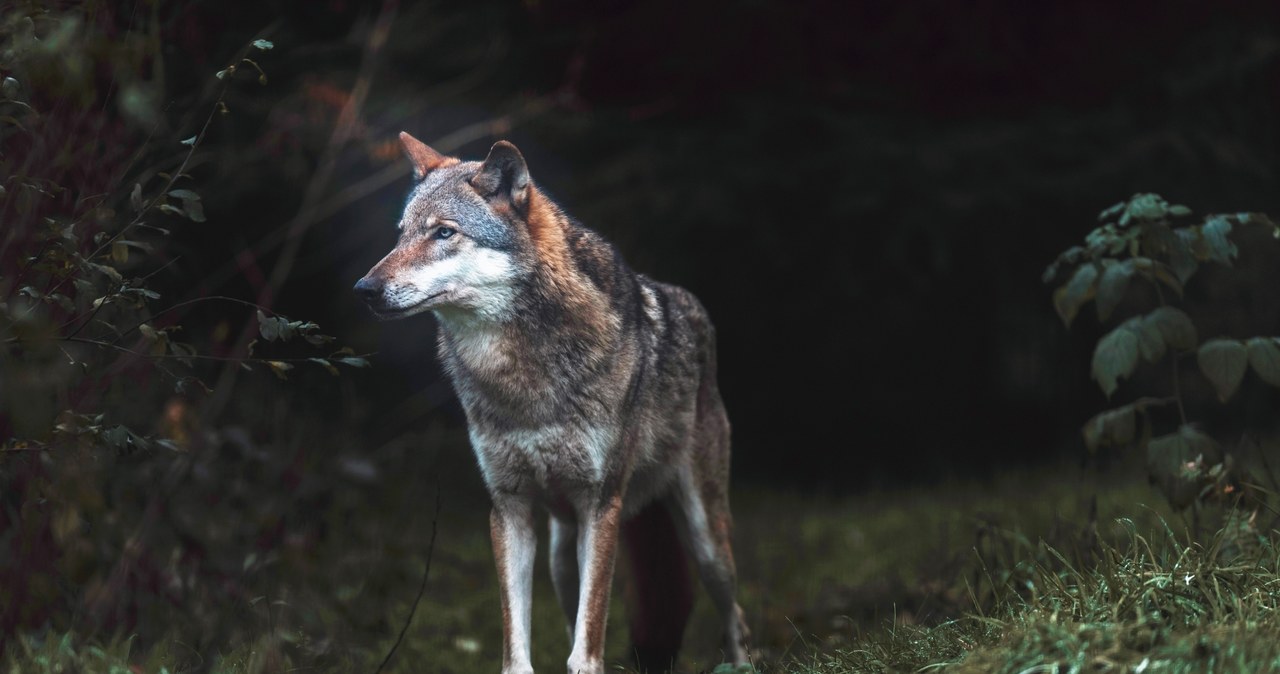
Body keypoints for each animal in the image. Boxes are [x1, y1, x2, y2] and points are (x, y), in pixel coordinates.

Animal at [353, 133, 747, 674]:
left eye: (444, 233)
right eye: (401, 234)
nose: (364, 289)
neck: (521, 380)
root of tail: (692, 305)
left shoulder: (601, 506)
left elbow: (588, 642)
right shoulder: (509, 509)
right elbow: (517, 646)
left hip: (706, 540)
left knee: (736, 613)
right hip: (562, 554)